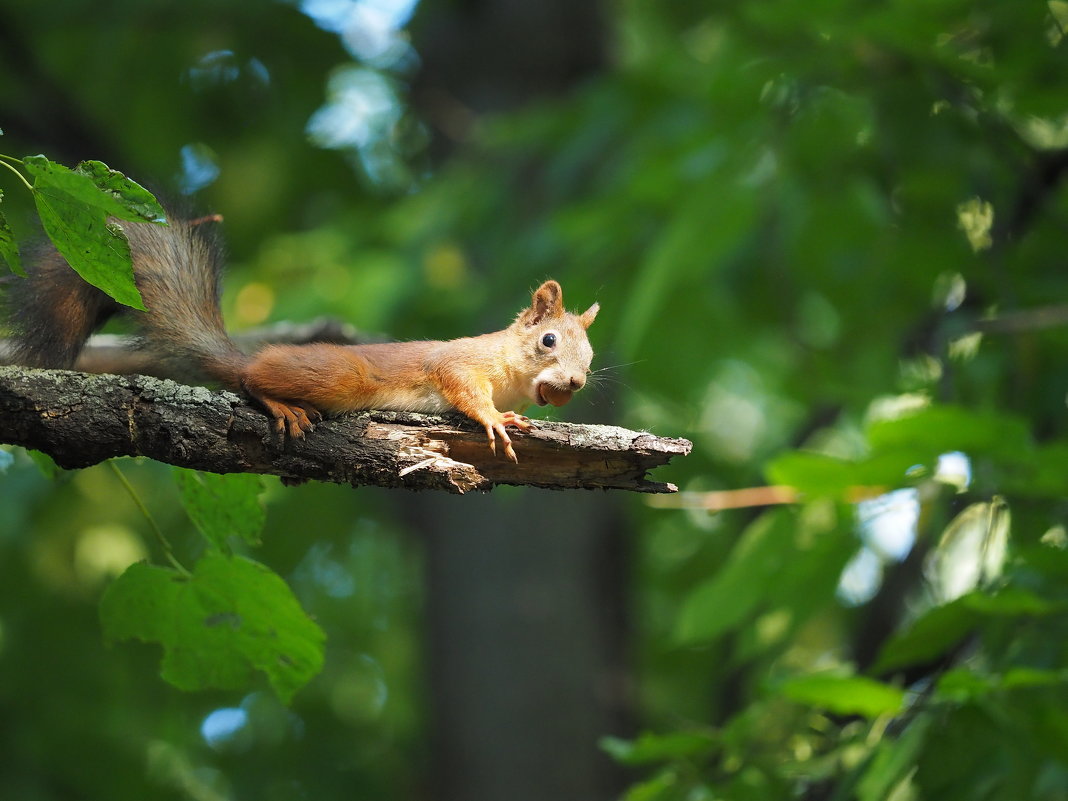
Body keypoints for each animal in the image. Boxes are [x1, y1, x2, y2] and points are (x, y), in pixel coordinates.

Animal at [4, 216, 598, 463]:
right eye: (548, 340)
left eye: (589, 358)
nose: (573, 383)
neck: (510, 369)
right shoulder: (459, 361)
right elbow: (462, 387)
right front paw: (496, 418)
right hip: (338, 376)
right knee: (251, 380)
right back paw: (279, 403)